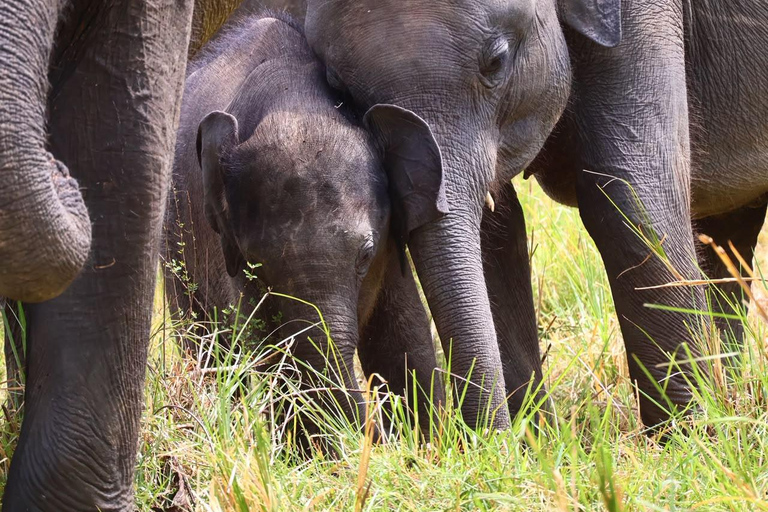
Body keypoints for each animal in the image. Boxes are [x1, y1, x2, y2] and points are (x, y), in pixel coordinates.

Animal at [165, 11, 444, 441]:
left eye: (366, 255)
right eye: (255, 264)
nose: (375, 433)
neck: (295, 102)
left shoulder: (391, 247)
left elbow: (403, 337)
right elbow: (267, 351)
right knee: (207, 344)